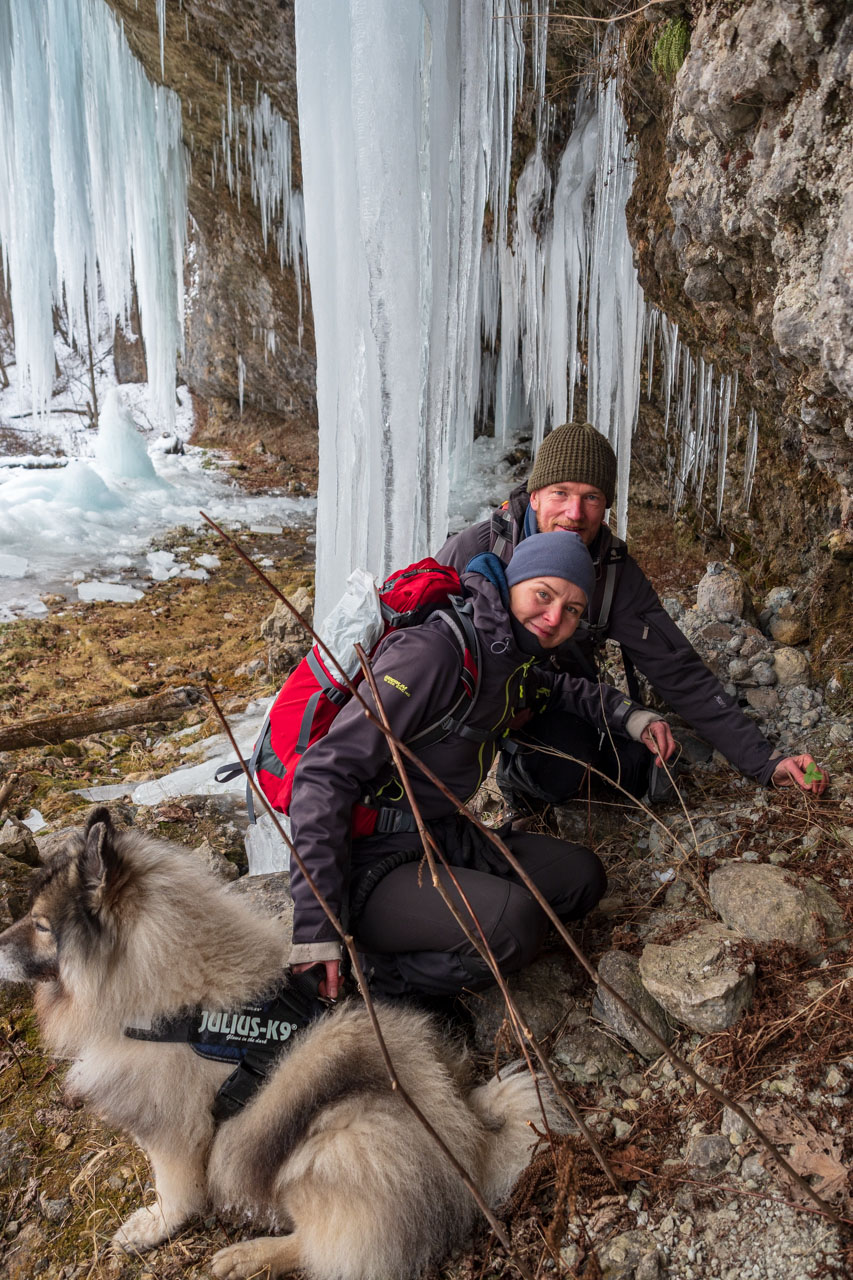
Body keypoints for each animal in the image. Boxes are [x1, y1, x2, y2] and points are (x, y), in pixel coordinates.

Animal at [0, 808, 555, 1280]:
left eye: (43, 926)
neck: (170, 998)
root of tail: (474, 1140)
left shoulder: (172, 1130)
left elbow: (175, 1194)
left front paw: (152, 1226)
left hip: (335, 1145)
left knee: (327, 1248)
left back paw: (249, 1256)